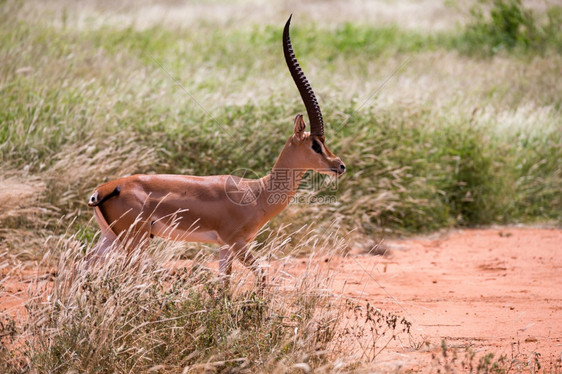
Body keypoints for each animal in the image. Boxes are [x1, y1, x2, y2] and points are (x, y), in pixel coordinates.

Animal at [87, 13, 344, 284]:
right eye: (315, 144)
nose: (340, 165)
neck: (257, 193)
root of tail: (102, 191)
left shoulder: (224, 248)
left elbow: (224, 284)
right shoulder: (237, 243)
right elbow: (261, 276)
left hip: (110, 239)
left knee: (81, 265)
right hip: (134, 241)